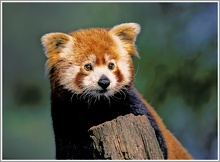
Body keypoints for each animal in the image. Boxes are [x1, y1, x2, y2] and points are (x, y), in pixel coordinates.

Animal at [40, 22, 192, 159]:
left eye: (111, 65)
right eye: (88, 67)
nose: (104, 82)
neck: (97, 105)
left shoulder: (132, 105)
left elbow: (160, 143)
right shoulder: (65, 117)